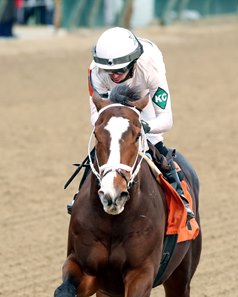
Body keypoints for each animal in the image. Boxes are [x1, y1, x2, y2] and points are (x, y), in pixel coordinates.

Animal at [54, 84, 202, 294]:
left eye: (138, 135)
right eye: (97, 134)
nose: (113, 194)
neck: (113, 222)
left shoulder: (141, 272)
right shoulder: (83, 268)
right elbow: (63, 290)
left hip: (181, 274)